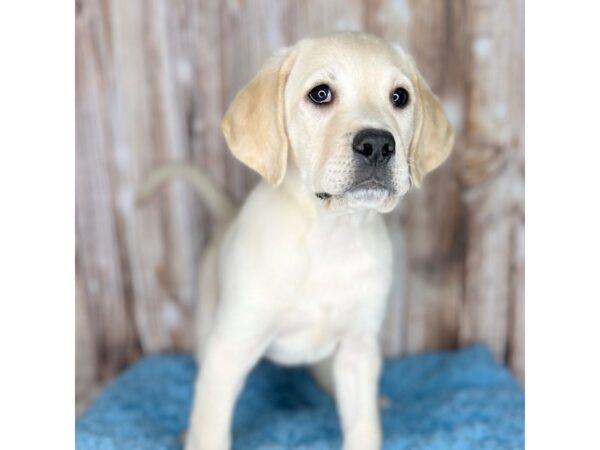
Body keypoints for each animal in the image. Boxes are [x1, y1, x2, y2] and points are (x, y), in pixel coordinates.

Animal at [138, 31, 452, 450]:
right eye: (320, 94)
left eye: (399, 97)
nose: (378, 145)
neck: (329, 236)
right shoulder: (230, 347)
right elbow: (211, 426)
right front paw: (199, 433)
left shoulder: (358, 347)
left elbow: (363, 426)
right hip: (208, 326)